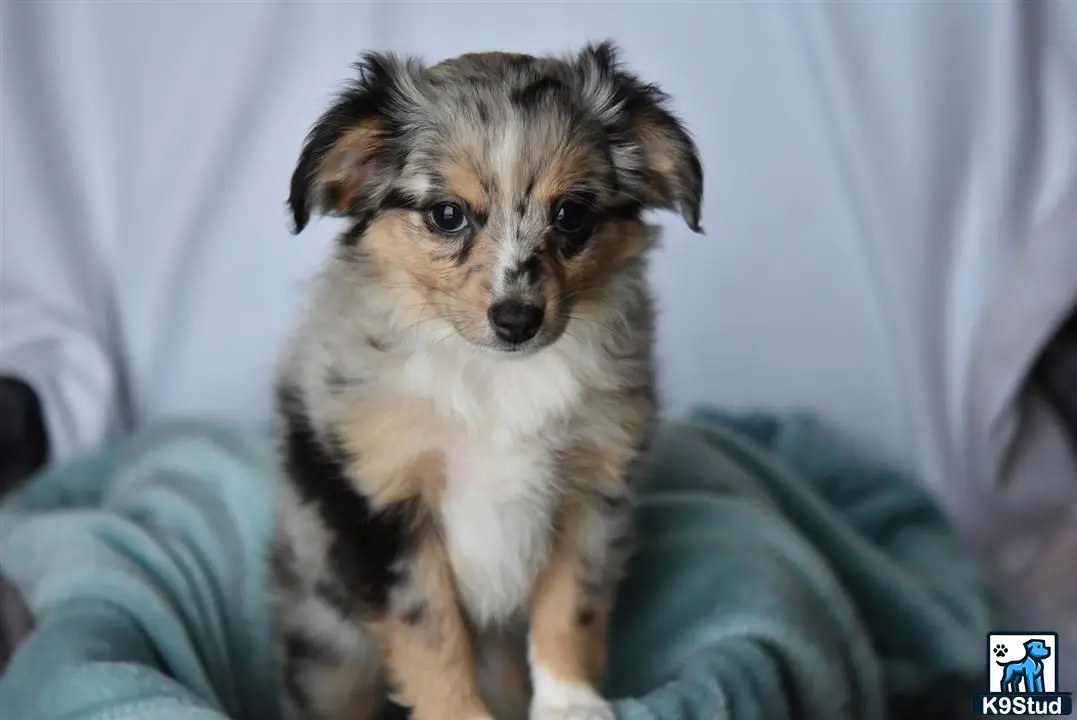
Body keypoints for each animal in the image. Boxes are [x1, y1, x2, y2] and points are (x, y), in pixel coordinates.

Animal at [271, 40, 697, 718]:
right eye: (448, 215)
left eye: (571, 214)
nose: (518, 319)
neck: (499, 378)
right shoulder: (385, 503)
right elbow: (432, 633)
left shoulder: (592, 488)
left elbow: (570, 605)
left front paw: (570, 703)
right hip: (330, 649)